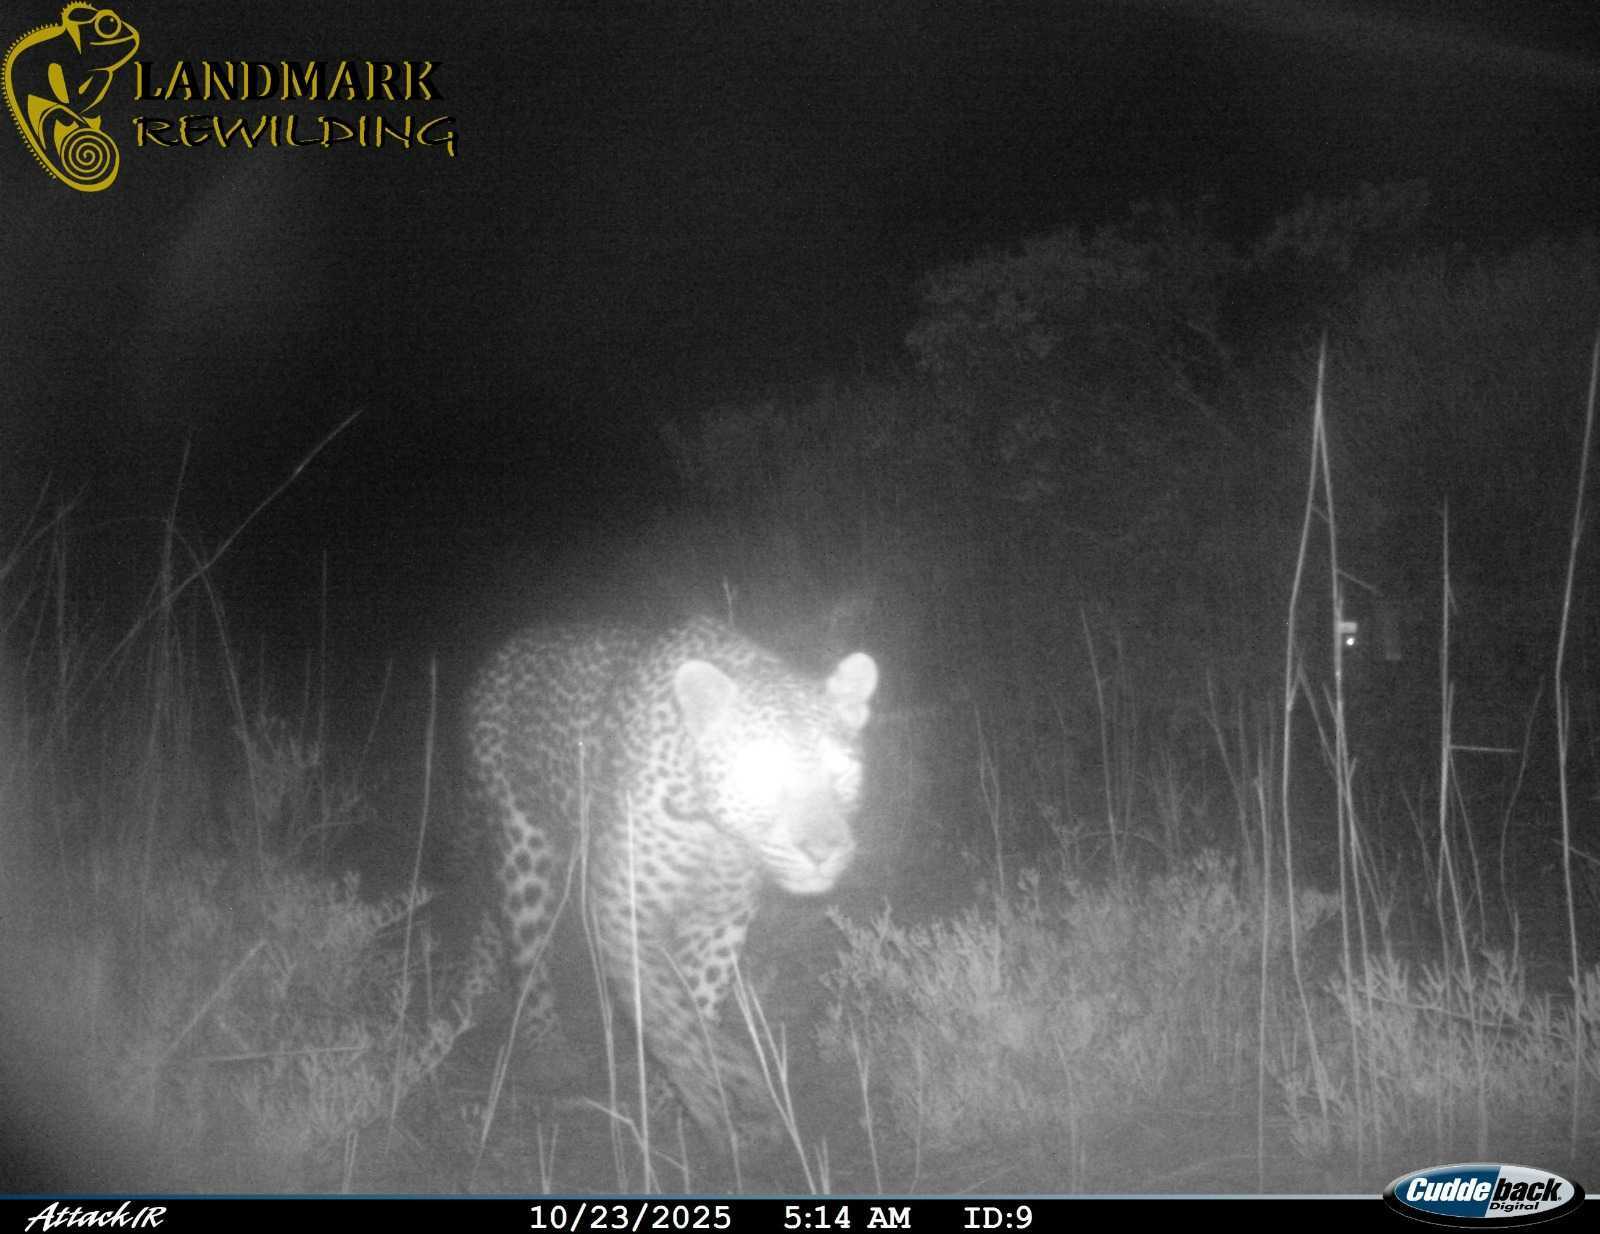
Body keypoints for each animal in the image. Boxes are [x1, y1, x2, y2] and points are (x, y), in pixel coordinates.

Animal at [462, 616, 878, 1146]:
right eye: (760, 772)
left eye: (842, 770)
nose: (823, 850)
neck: (714, 831)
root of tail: (510, 647)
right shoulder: (622, 912)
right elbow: (668, 1013)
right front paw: (721, 1094)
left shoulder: (721, 922)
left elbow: (697, 1003)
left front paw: (675, 1101)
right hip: (521, 841)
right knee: (526, 946)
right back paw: (547, 1051)